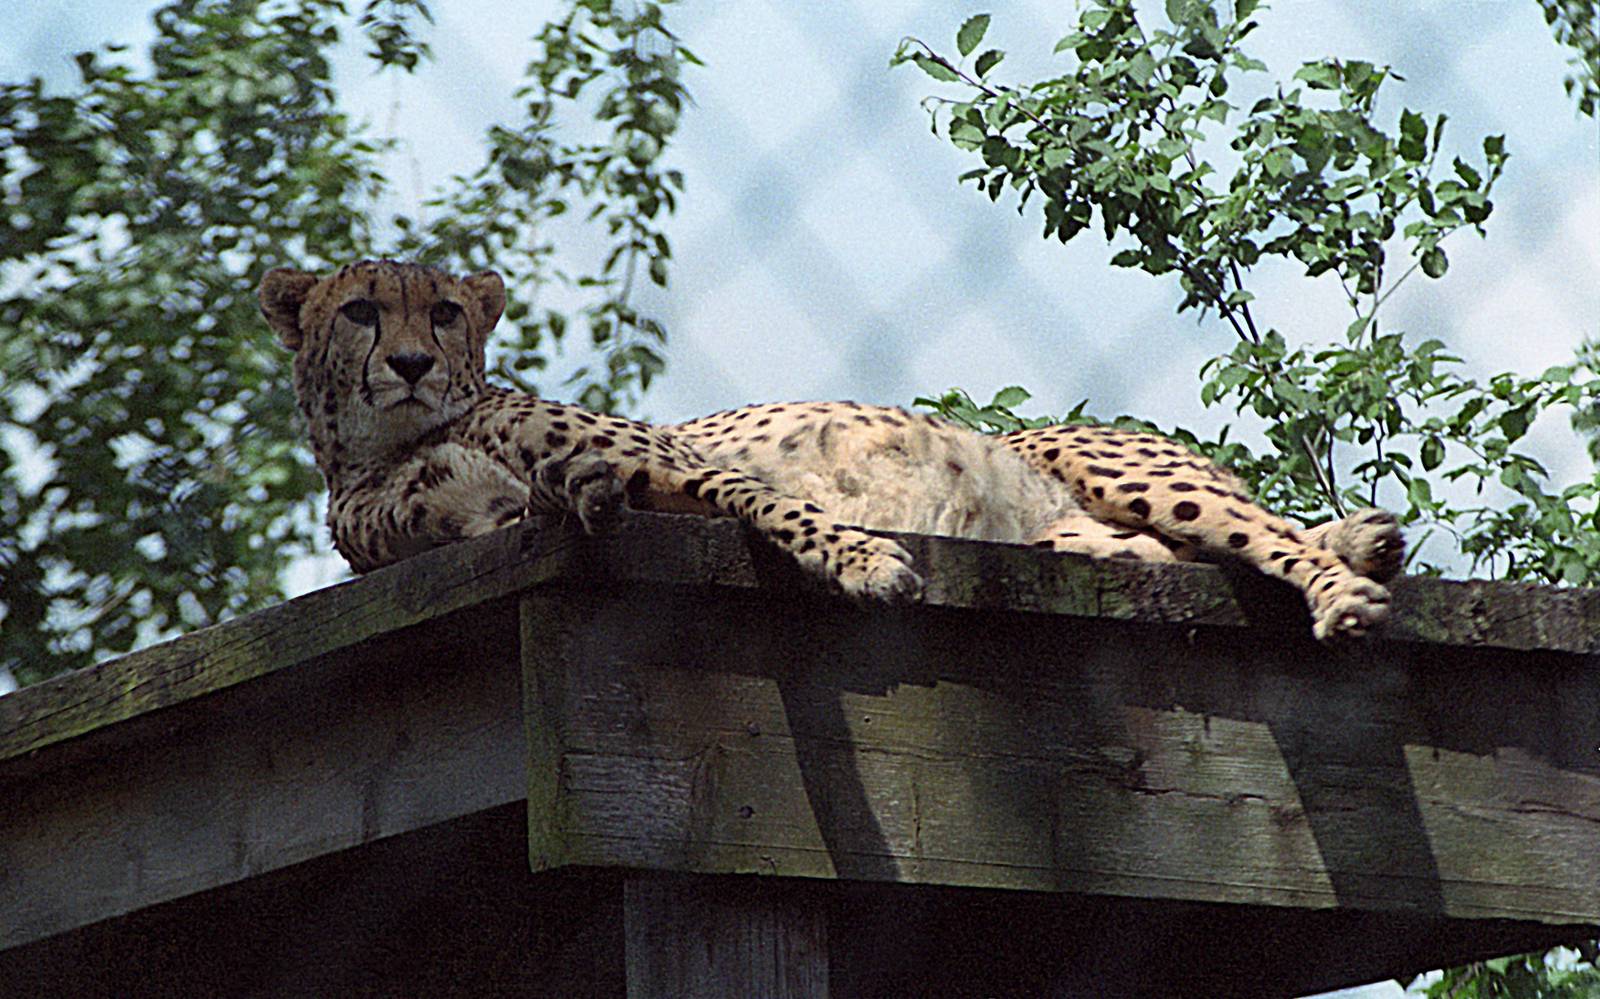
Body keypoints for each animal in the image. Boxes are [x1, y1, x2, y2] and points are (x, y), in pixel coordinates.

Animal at [258, 259, 1403, 640]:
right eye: (361, 311)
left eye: (444, 311)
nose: (412, 362)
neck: (398, 442)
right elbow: (528, 501)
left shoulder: (688, 463)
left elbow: (778, 505)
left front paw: (863, 562)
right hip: (1088, 540)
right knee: (1175, 553)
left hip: (1118, 466)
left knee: (1268, 531)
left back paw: (1351, 577)